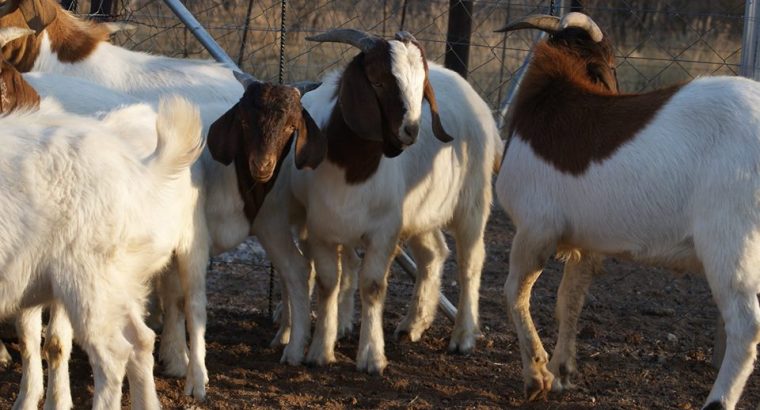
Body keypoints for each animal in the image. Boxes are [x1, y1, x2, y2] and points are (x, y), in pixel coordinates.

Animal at [212, 28, 502, 373]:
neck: (352, 170)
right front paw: (320, 350)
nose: (411, 130)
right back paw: (413, 324)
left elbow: (372, 284)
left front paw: (371, 356)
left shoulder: (384, 230)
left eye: (422, 86)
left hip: (473, 200)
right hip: (421, 212)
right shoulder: (321, 228)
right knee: (433, 254)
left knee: (471, 261)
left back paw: (463, 337)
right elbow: (327, 280)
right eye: (377, 81)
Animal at [495, 12, 760, 410]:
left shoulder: (535, 228)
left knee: (745, 326)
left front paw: (537, 375)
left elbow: (515, 292)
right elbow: (568, 300)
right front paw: (561, 372)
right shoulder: (584, 242)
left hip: (731, 242)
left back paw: (718, 400)